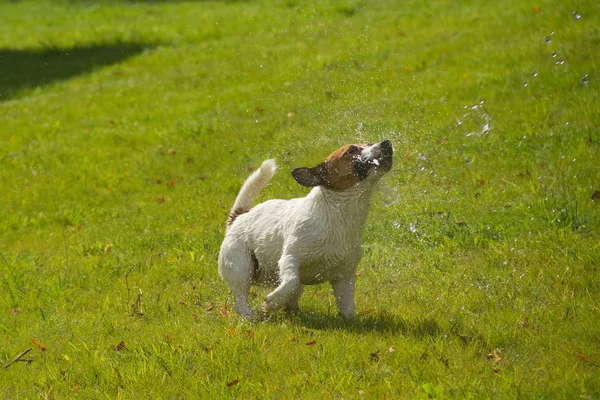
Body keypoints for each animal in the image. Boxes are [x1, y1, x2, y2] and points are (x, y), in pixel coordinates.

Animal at [217, 139, 394, 320]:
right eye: (351, 151)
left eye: (370, 143)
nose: (386, 142)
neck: (336, 214)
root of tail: (238, 218)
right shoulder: (290, 258)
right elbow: (292, 281)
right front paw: (272, 302)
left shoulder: (344, 277)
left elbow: (348, 310)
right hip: (241, 266)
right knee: (241, 299)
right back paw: (250, 317)